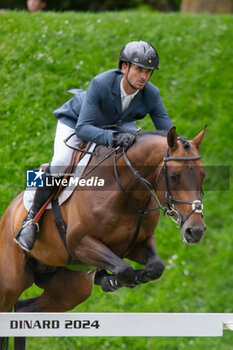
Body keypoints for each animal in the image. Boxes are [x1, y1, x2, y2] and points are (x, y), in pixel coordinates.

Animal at [0, 127, 206, 346]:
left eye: (203, 175)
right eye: (174, 176)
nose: (195, 231)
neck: (126, 192)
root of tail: (9, 213)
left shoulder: (138, 243)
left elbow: (155, 267)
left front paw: (121, 277)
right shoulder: (80, 243)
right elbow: (124, 269)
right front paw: (112, 280)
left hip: (69, 290)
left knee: (24, 310)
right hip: (10, 284)